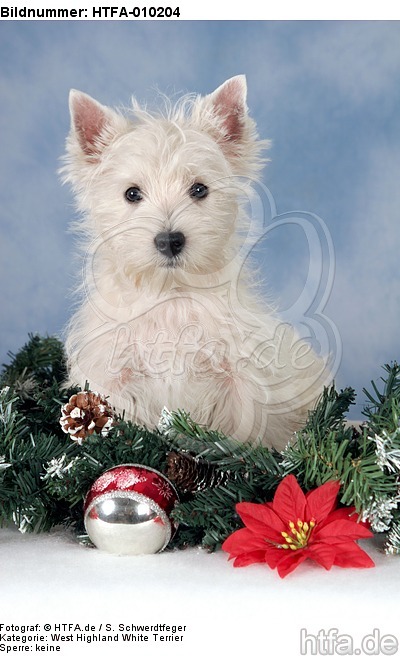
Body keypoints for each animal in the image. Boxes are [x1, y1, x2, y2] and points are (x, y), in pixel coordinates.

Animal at [62, 74, 330, 448]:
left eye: (199, 189)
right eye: (132, 193)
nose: (169, 241)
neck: (171, 295)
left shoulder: (240, 379)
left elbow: (242, 433)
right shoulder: (114, 378)